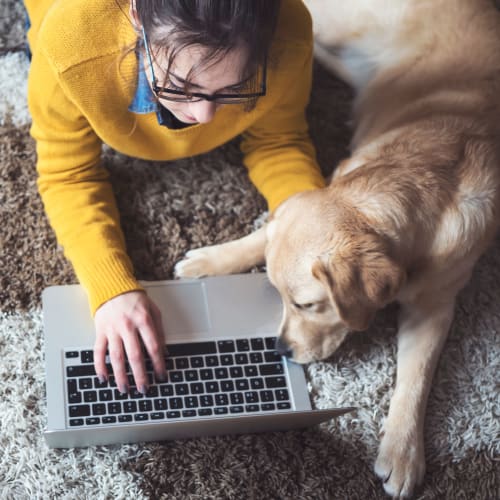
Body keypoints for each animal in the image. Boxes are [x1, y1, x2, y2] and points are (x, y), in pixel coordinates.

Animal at [175, 0, 500, 496]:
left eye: (308, 304)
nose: (280, 351)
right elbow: (265, 231)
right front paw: (211, 260)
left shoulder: (436, 305)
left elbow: (417, 377)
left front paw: (403, 452)